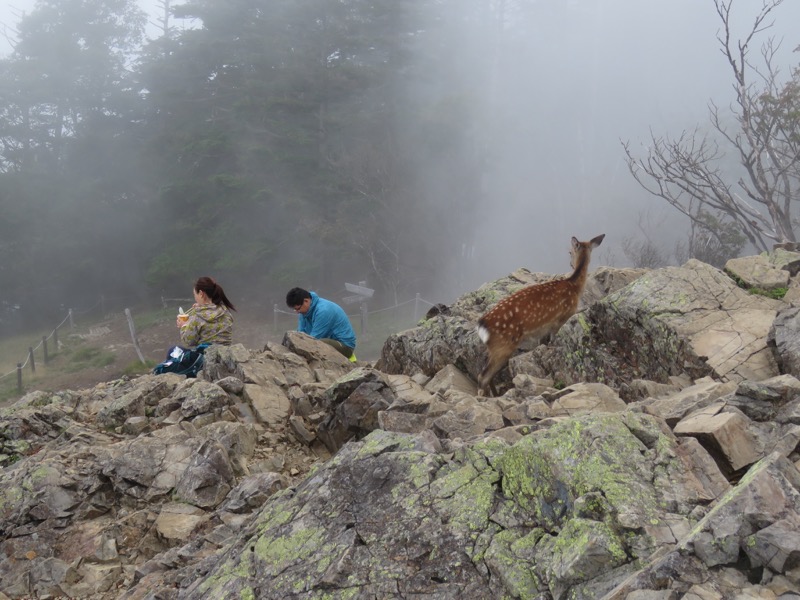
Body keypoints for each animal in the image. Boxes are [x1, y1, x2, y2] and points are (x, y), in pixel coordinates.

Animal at [478, 232, 604, 396]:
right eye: (569, 252)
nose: (571, 264)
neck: (574, 287)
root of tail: (482, 325)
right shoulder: (561, 318)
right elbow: (553, 340)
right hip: (503, 346)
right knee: (483, 376)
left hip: (494, 347)